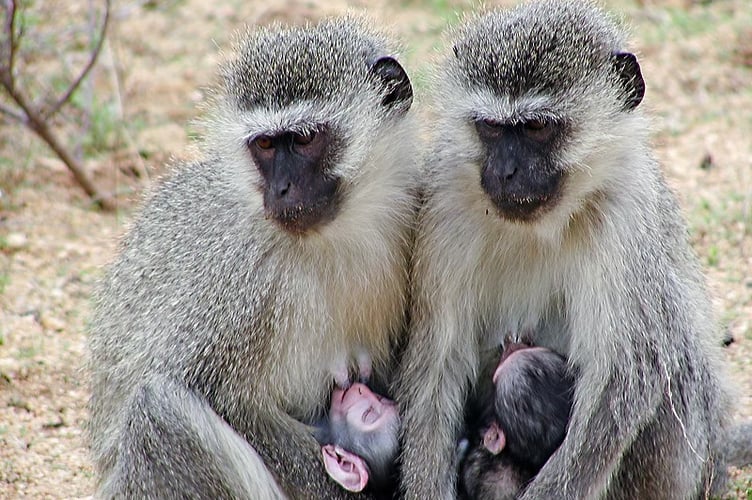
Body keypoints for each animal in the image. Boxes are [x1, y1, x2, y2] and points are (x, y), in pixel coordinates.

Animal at [87, 16, 418, 499]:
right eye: (264, 145)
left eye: (303, 140)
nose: (280, 189)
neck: (330, 237)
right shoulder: (240, 279)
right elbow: (221, 396)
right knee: (160, 410)